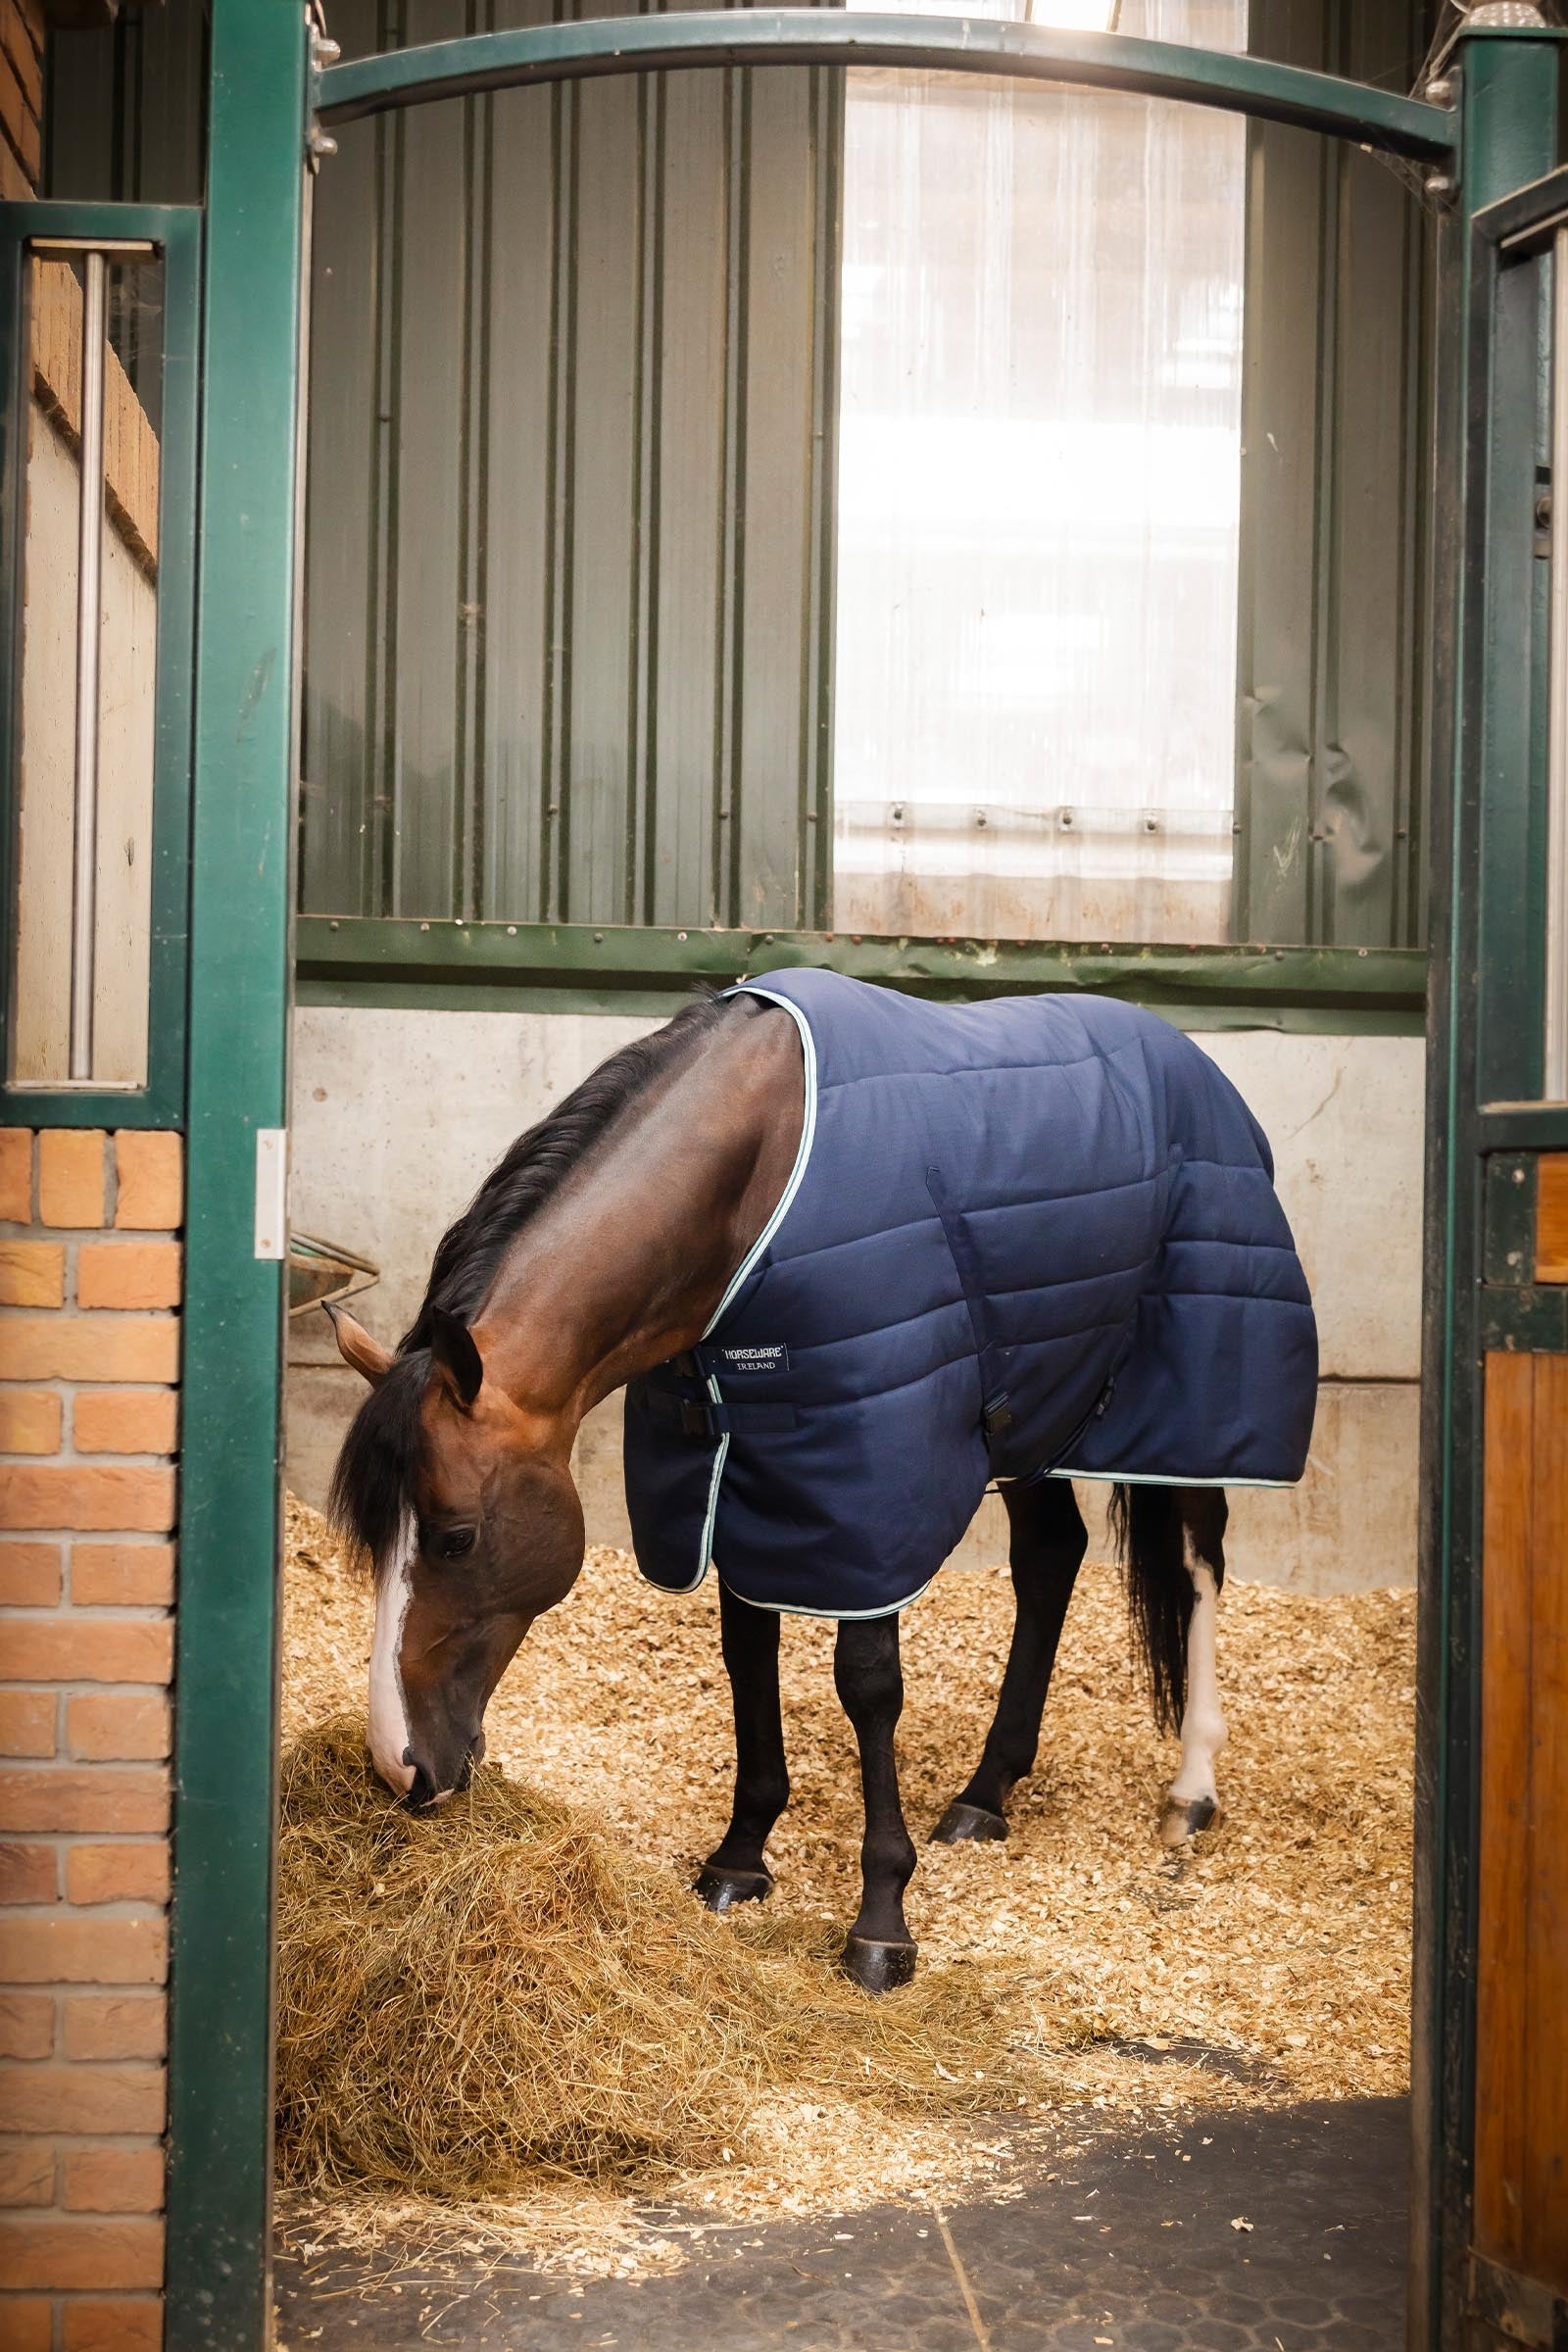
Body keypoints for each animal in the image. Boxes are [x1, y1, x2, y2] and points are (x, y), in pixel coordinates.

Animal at [326, 971, 1316, 1993]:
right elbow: (746, 1652)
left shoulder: (868, 1475)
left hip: (1192, 1393)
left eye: (456, 1538)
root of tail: (1188, 1058)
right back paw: (986, 1792)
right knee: (1051, 1557)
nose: (400, 1767)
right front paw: (739, 1856)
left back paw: (1190, 1790)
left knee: (1198, 1563)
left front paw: (880, 1924)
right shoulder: (735, 1463)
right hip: (1031, 1400)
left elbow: (868, 1684)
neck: (751, 1199)